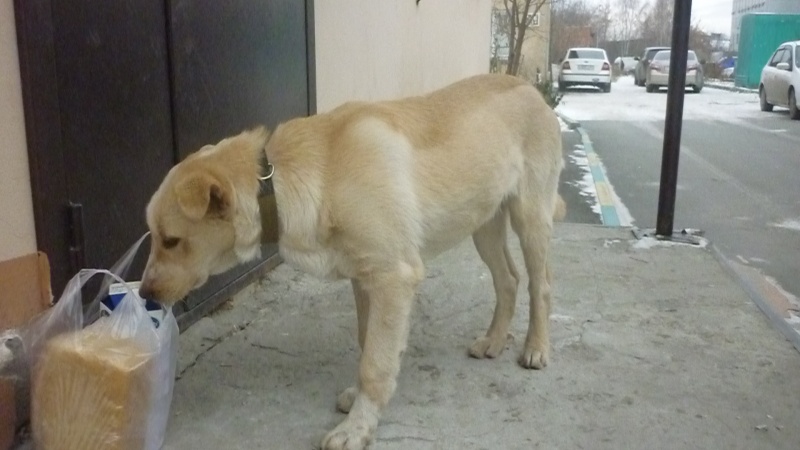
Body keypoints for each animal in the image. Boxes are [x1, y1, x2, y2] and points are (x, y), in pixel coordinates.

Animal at [140, 73, 564, 450]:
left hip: (530, 218)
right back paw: (494, 340)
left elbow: (374, 363)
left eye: (171, 240)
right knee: (508, 279)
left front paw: (357, 429)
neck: (285, 178)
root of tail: (529, 86)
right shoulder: (365, 280)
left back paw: (536, 348)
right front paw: (360, 402)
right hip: (484, 224)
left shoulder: (394, 277)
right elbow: (367, 344)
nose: (144, 295)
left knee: (540, 284)